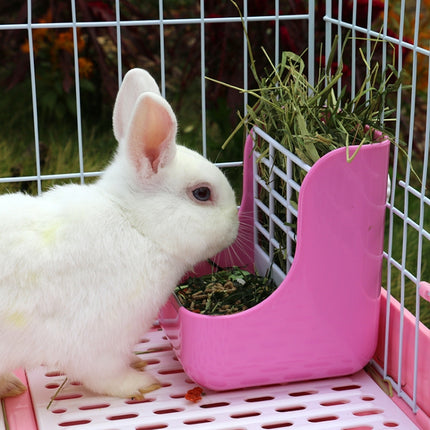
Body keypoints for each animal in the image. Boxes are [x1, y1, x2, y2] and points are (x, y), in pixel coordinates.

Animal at [0, 68, 239, 400]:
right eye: (202, 193)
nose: (236, 221)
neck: (136, 226)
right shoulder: (96, 342)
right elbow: (104, 375)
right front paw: (141, 383)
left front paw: (137, 362)